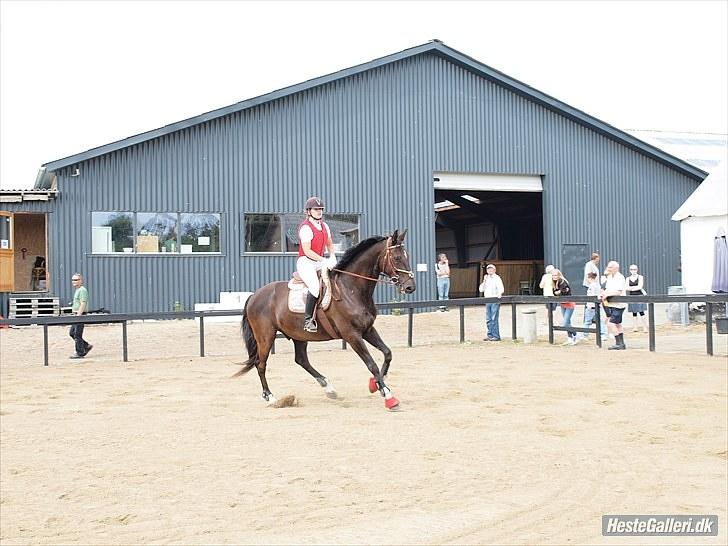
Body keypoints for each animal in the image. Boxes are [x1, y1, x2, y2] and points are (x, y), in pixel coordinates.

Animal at [233, 228, 416, 408]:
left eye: (407, 255)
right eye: (397, 258)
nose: (410, 287)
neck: (351, 289)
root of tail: (255, 295)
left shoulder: (368, 330)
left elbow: (387, 353)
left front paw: (376, 385)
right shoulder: (352, 335)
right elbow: (372, 364)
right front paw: (389, 397)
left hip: (299, 335)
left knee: (301, 360)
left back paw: (328, 388)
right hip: (266, 337)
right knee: (261, 364)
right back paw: (271, 397)